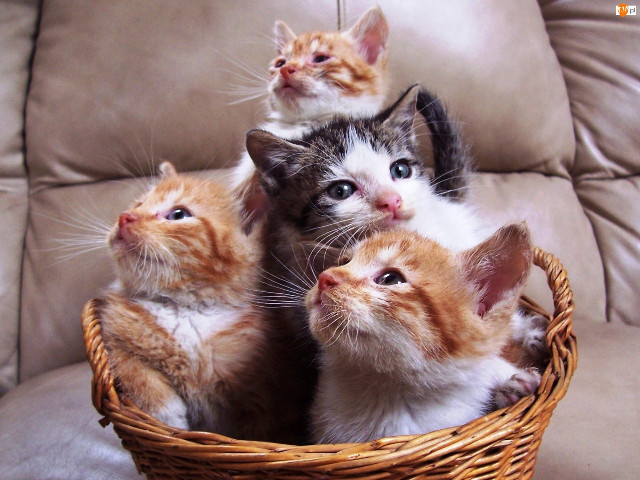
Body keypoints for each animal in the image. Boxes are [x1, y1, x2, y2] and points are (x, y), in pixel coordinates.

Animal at [96, 161, 300, 442]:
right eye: (139, 204)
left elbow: (262, 430)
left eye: (178, 214)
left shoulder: (267, 383)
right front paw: (165, 414)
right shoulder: (112, 333)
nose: (125, 217)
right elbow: (130, 366)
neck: (186, 311)